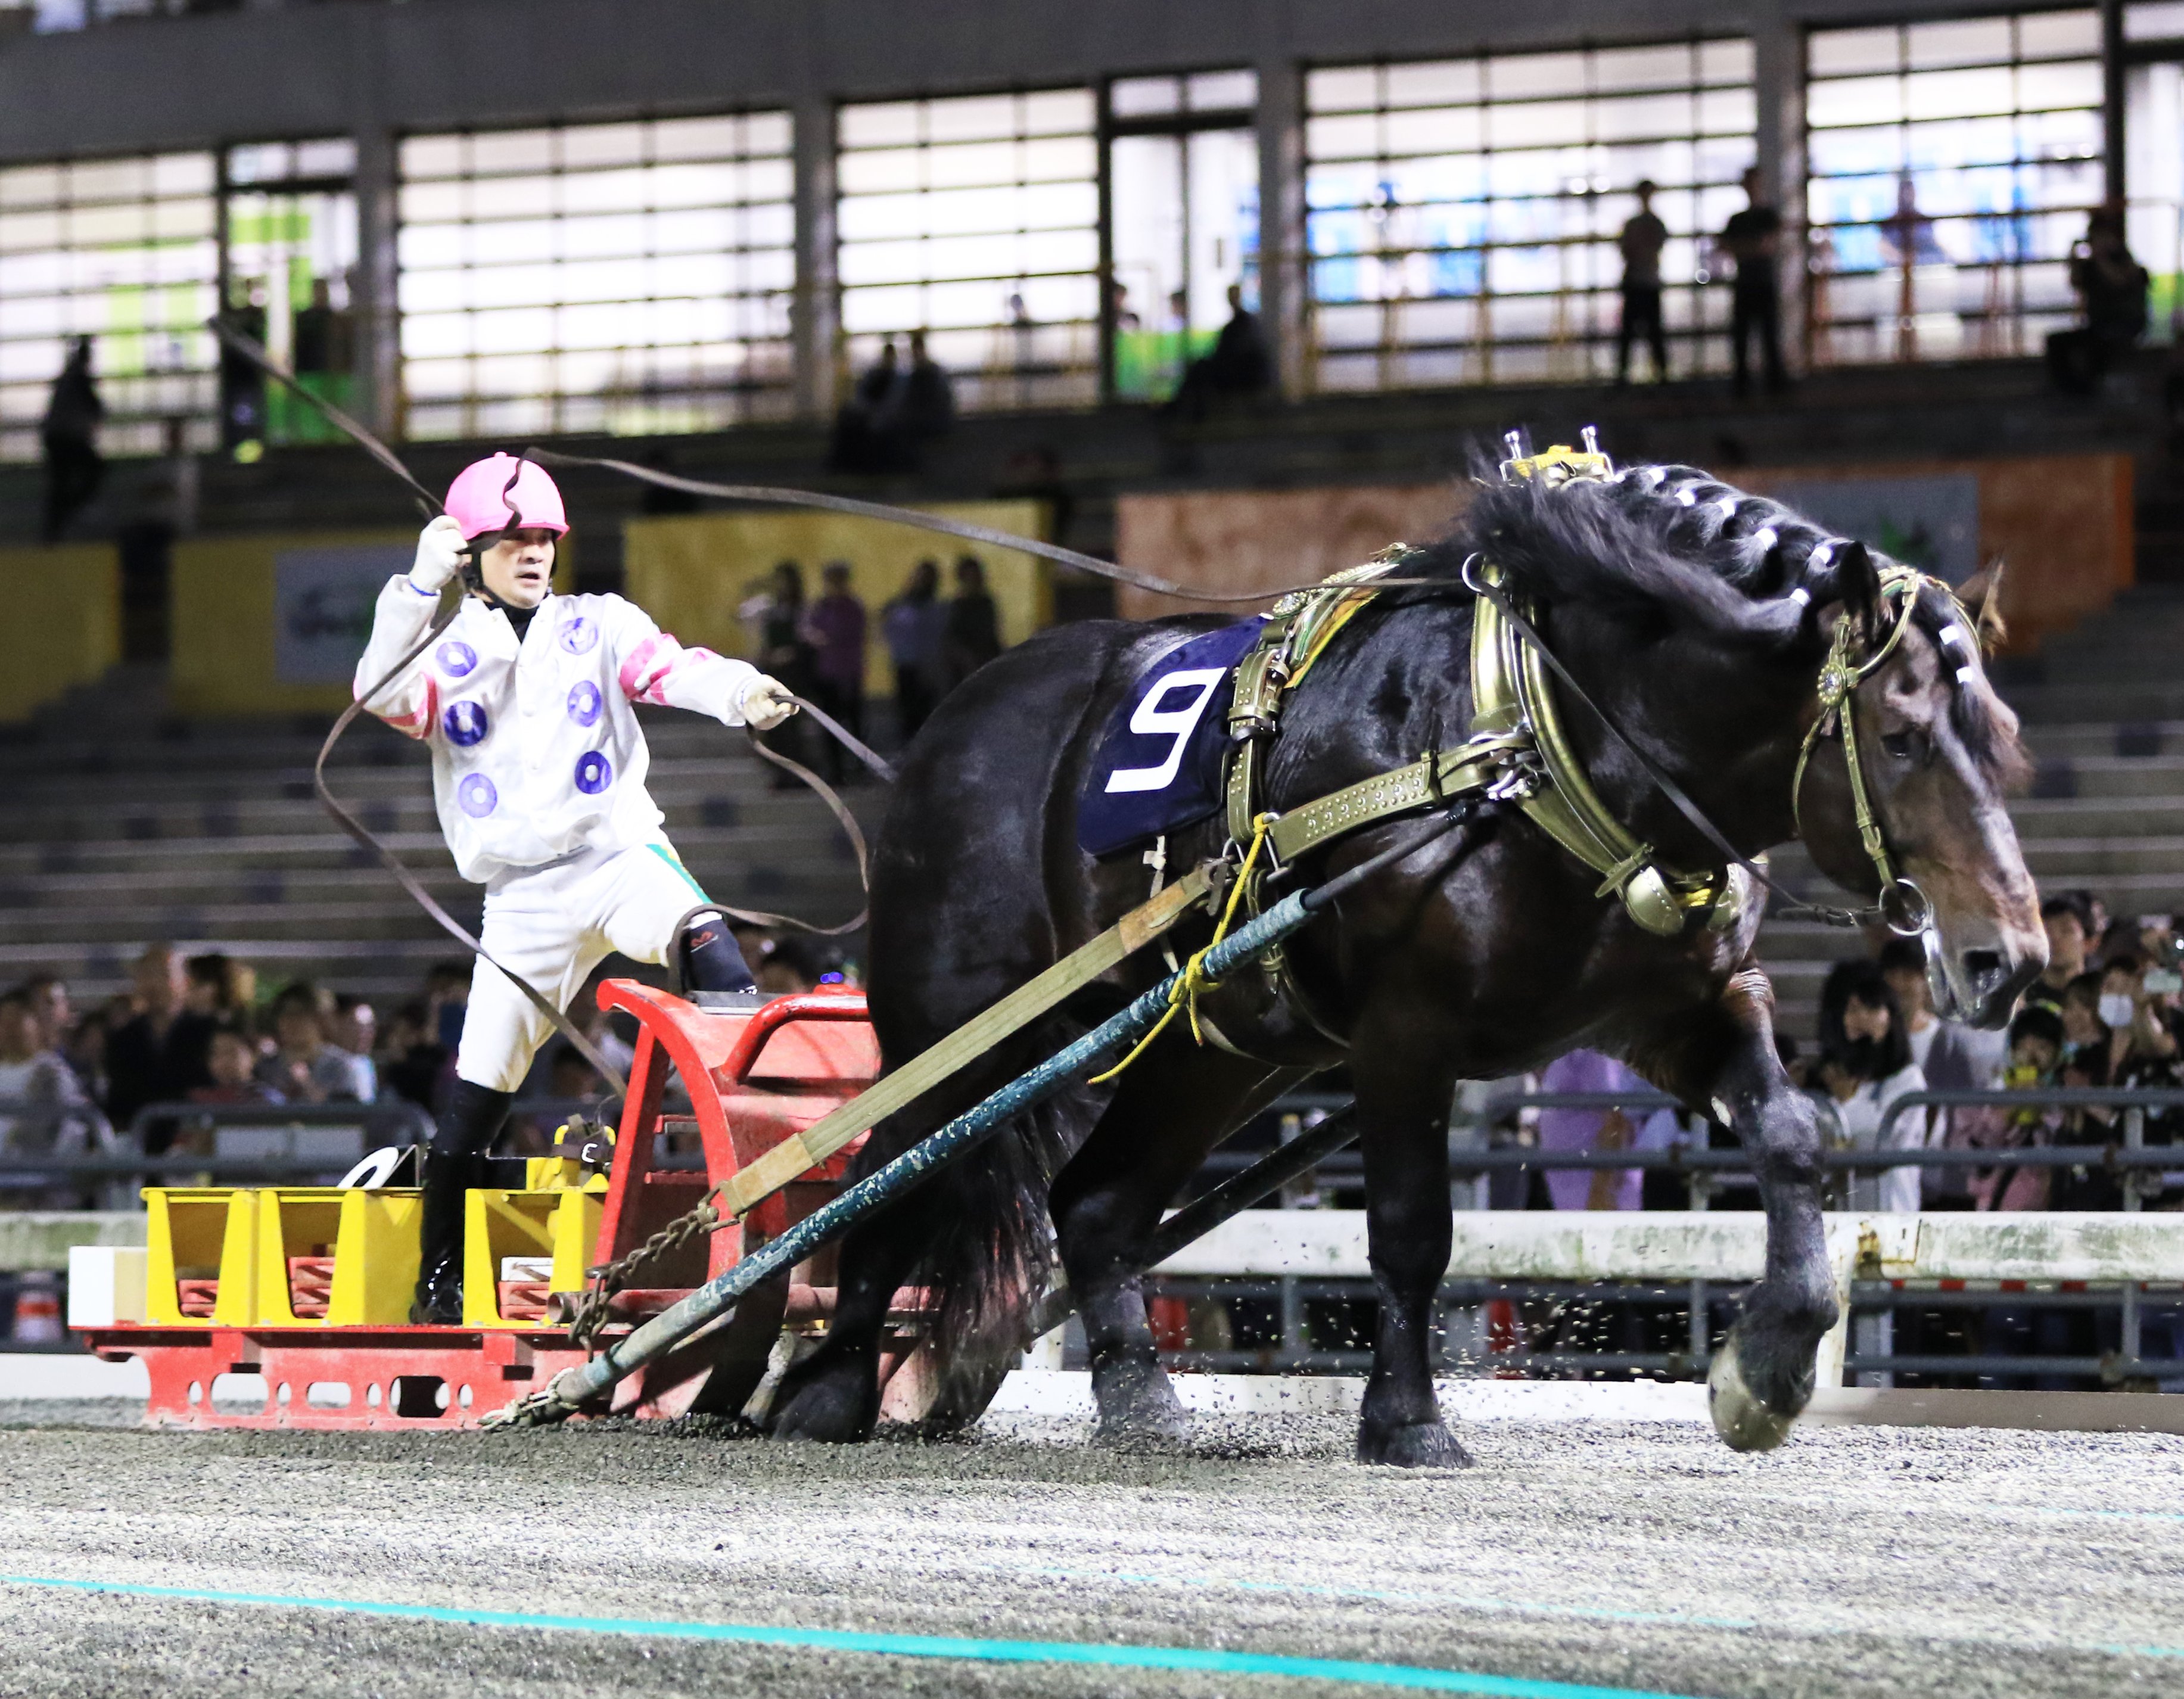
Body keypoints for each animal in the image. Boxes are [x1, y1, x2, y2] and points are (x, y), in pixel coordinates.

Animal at [766, 458, 2044, 1465]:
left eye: (2004, 737)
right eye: (1899, 737)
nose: (2011, 957)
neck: (1532, 742)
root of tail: (949, 722)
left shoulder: (1679, 1007)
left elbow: (1789, 1136)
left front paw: (1766, 1367)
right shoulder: (1404, 1033)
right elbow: (1413, 1228)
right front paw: (1408, 1418)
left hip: (1215, 1049)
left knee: (1090, 1202)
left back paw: (1134, 1393)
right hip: (956, 1029)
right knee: (884, 1182)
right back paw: (825, 1385)